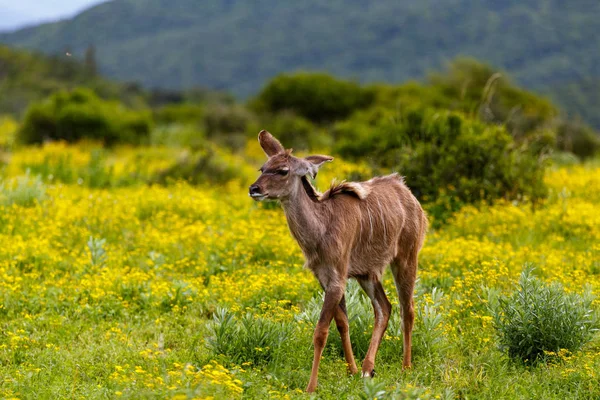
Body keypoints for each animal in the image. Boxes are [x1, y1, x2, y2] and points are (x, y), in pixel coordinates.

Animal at [251, 130, 428, 390]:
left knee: (408, 308)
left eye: (283, 170)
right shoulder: (327, 278)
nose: (253, 189)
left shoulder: (337, 278)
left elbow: (320, 332)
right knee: (384, 307)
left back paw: (406, 368)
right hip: (368, 274)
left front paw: (311, 387)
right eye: (263, 168)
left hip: (406, 257)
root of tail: (408, 194)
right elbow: (342, 323)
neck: (321, 229)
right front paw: (352, 371)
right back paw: (368, 369)